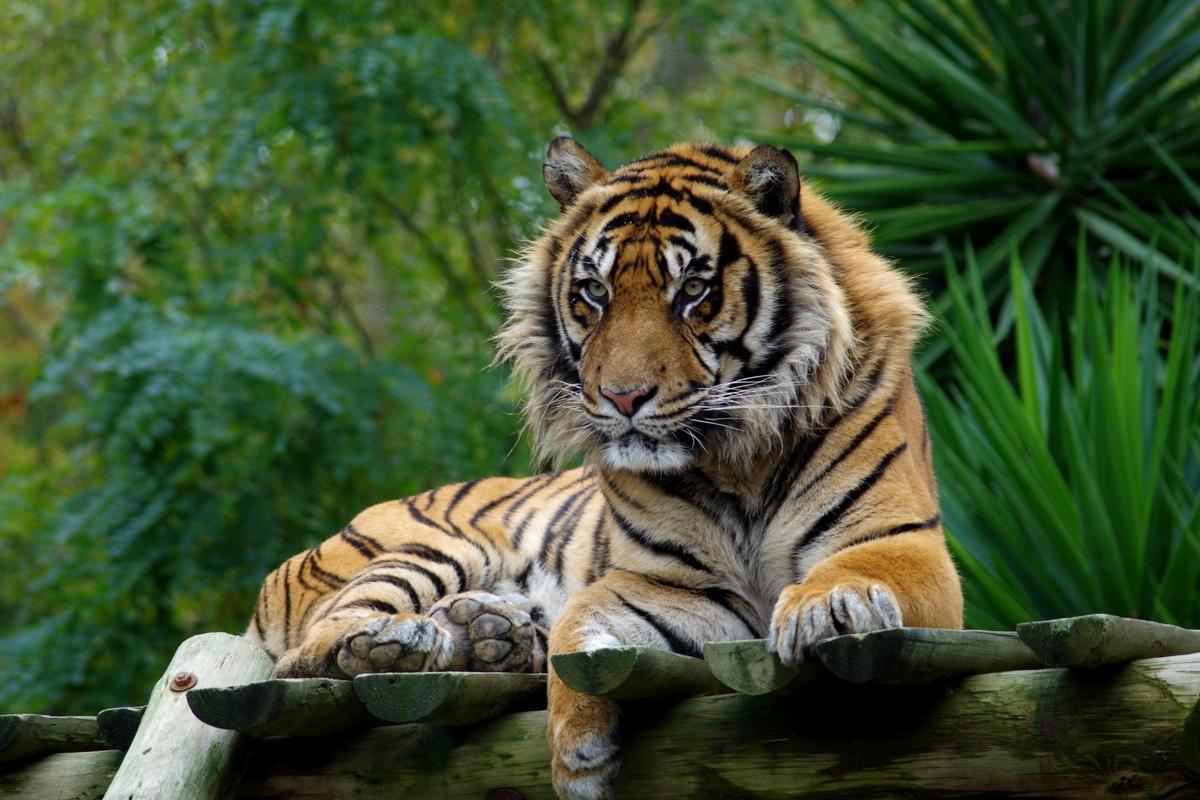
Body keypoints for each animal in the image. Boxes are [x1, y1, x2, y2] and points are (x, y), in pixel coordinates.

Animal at [247, 137, 963, 800]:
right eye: (595, 291)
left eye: (692, 290)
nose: (623, 398)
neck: (740, 459)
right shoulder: (673, 583)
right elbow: (576, 634)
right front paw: (579, 760)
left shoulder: (902, 542)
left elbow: (853, 572)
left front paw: (829, 606)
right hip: (427, 549)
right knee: (311, 650)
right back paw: (399, 643)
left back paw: (487, 633)